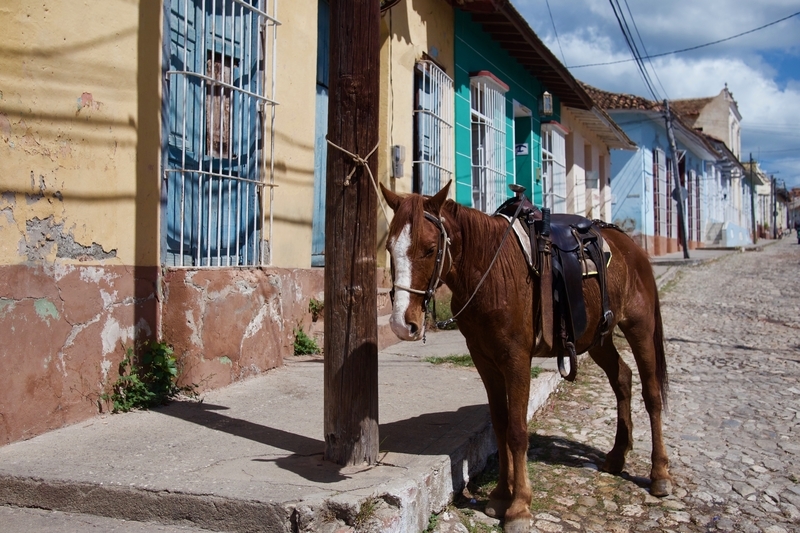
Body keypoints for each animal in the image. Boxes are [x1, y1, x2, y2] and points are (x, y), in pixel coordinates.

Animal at [382, 181, 668, 528]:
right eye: (390, 248)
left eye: (429, 248)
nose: (402, 323)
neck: (492, 272)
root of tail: (632, 248)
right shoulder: (485, 361)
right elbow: (500, 425)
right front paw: (500, 496)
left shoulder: (516, 360)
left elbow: (518, 431)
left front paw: (519, 506)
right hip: (597, 337)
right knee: (622, 379)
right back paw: (616, 455)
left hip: (639, 327)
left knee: (651, 394)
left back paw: (660, 473)